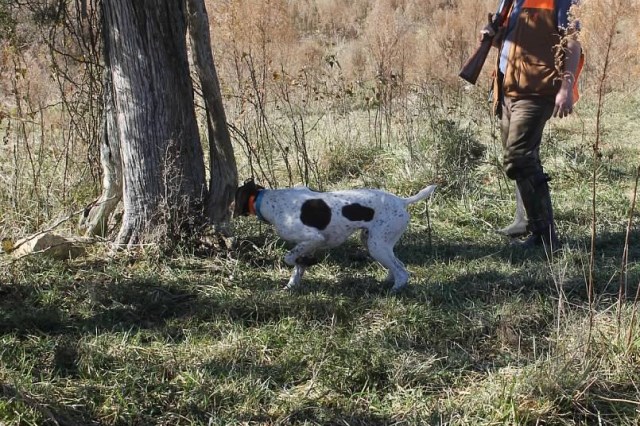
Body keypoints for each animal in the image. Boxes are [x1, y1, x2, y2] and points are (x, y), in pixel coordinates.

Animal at [232, 178, 438, 292]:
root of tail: (402, 201)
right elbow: (298, 266)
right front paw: (292, 285)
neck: (269, 201)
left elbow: (289, 258)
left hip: (377, 245)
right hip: (373, 242)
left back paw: (395, 289)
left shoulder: (313, 238)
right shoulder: (306, 245)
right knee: (396, 266)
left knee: (402, 272)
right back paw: (388, 282)